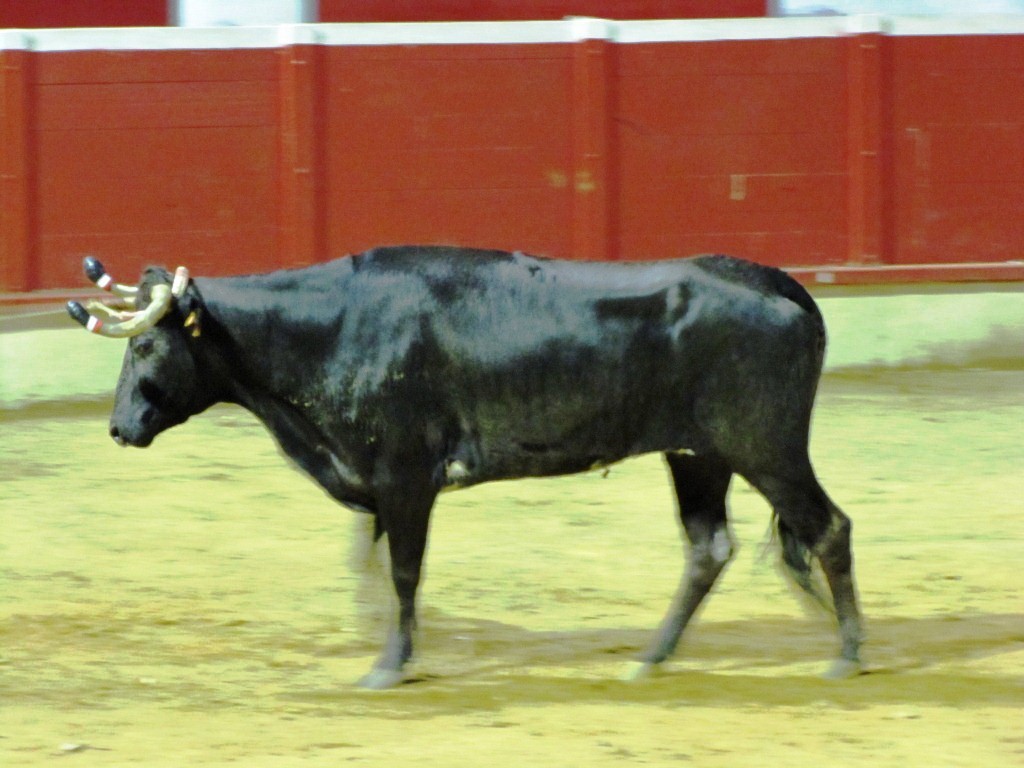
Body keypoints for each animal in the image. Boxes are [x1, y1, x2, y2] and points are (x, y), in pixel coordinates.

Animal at [68, 247, 860, 692]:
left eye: (144, 348)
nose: (118, 427)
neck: (329, 329)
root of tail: (779, 284)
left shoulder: (405, 477)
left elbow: (403, 571)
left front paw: (388, 665)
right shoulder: (380, 483)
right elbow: (371, 564)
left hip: (766, 447)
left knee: (828, 527)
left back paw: (848, 654)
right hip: (699, 457)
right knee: (709, 547)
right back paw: (649, 660)